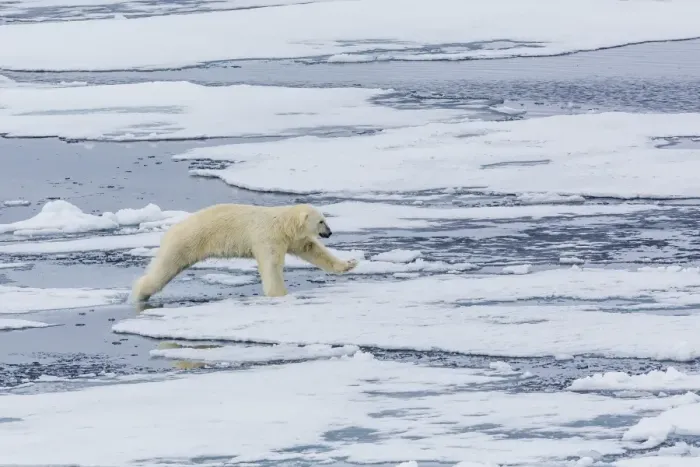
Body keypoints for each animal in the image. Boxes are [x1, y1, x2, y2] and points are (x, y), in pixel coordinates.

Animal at [130, 203, 358, 303]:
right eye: (321, 221)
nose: (329, 232)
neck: (282, 223)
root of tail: (170, 230)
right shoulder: (267, 237)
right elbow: (271, 266)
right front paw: (280, 293)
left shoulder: (293, 239)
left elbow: (314, 251)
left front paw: (349, 263)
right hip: (185, 243)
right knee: (164, 268)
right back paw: (140, 293)